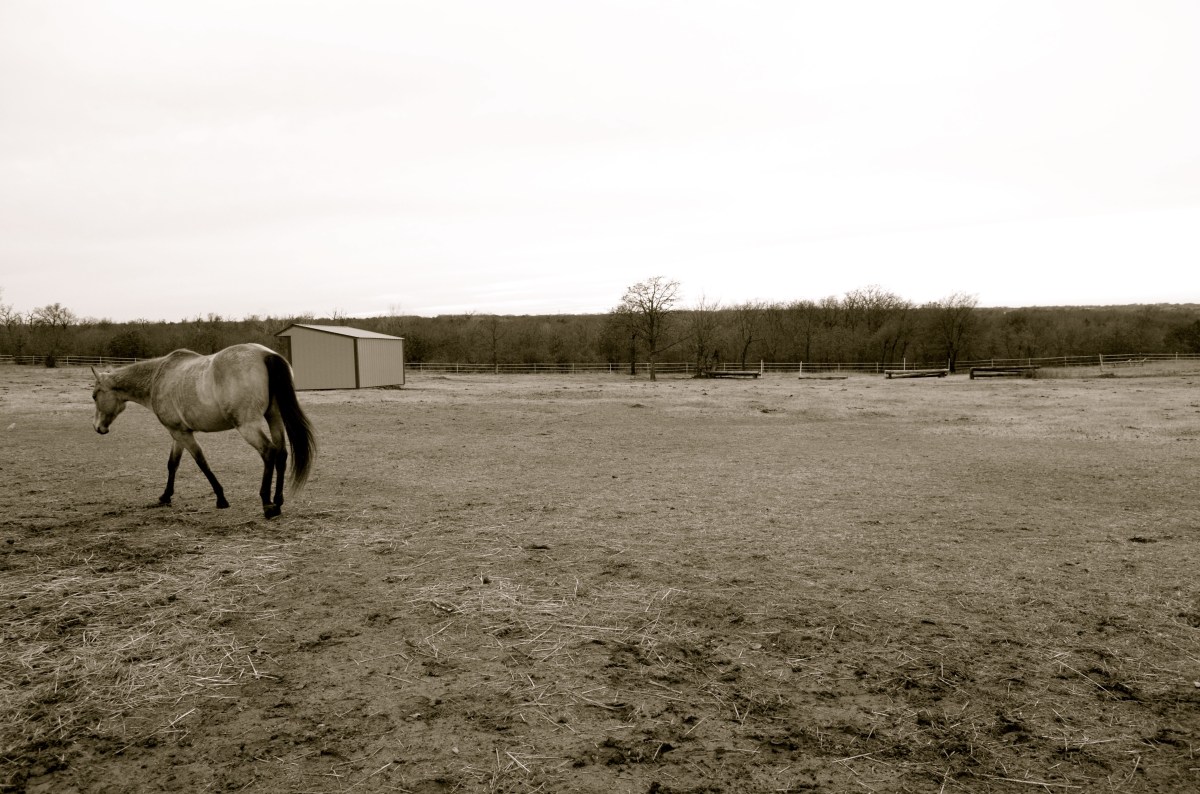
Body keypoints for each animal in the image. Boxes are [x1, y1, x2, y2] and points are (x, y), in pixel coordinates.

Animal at [91, 343, 316, 519]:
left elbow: (202, 462)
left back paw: (267, 504)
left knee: (269, 452)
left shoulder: (181, 433)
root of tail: (266, 354)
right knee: (281, 454)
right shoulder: (178, 433)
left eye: (94, 396)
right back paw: (277, 501)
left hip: (248, 426)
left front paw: (221, 498)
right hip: (274, 417)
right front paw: (165, 496)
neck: (158, 377)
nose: (97, 427)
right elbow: (172, 464)